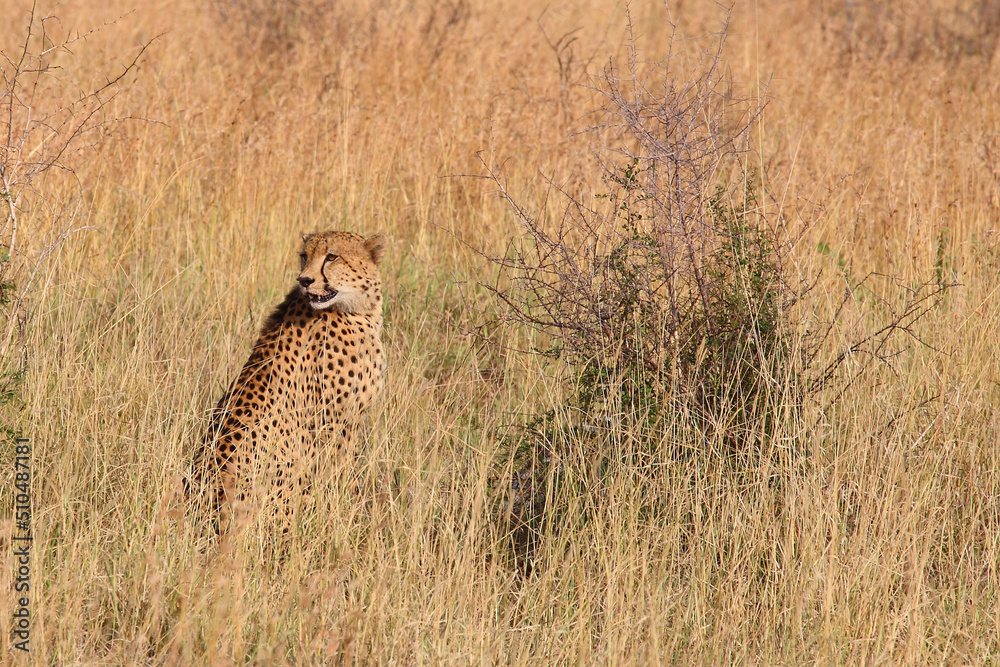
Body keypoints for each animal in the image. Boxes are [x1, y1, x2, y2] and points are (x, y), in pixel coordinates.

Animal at [189, 230, 387, 529]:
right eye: (305, 256)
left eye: (332, 256)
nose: (304, 280)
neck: (354, 308)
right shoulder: (335, 423)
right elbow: (342, 471)